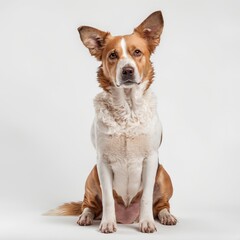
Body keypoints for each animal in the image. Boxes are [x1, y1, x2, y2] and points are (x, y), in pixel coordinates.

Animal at [47, 10, 178, 233]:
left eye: (137, 52)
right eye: (113, 55)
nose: (127, 70)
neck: (127, 108)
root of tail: (127, 216)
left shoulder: (151, 159)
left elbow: (146, 198)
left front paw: (147, 222)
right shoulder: (103, 161)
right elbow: (108, 198)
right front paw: (108, 223)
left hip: (163, 173)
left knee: (161, 204)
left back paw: (165, 216)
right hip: (92, 174)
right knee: (89, 204)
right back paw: (86, 216)